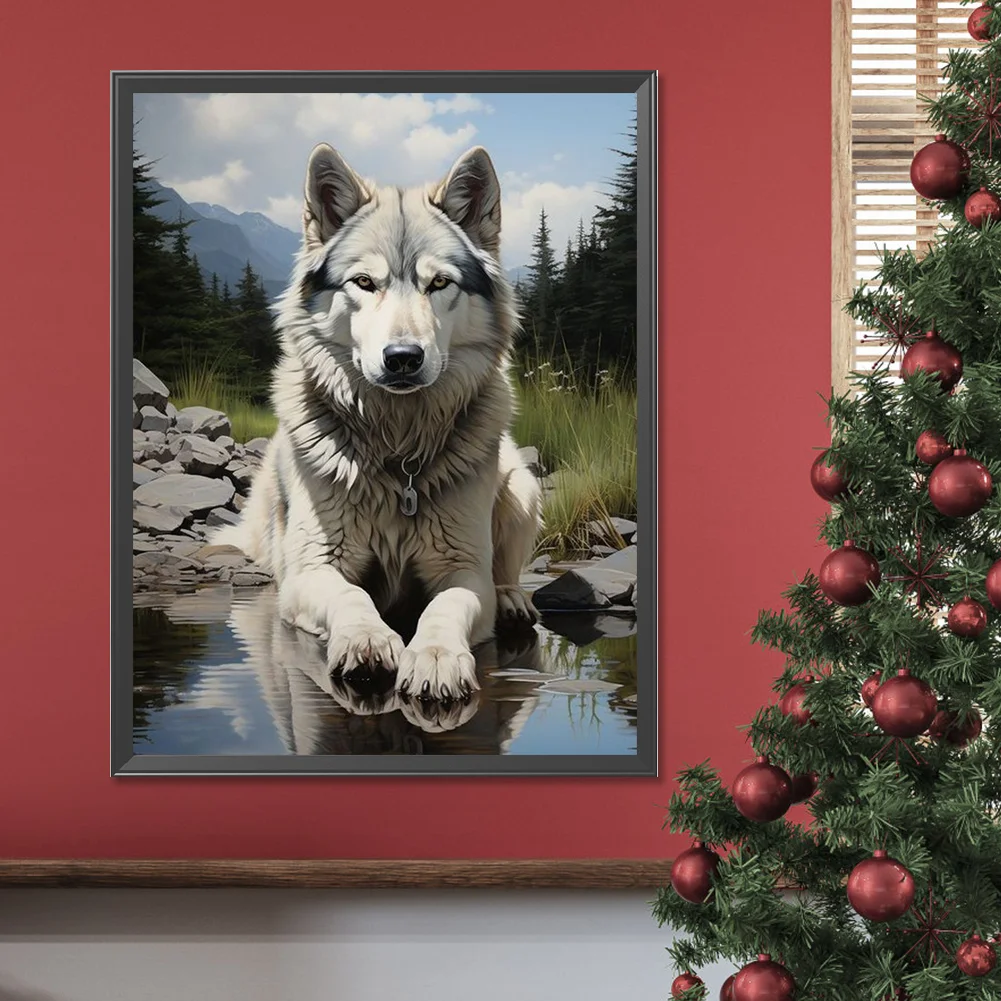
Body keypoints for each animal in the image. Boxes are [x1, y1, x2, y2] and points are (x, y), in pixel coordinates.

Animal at [214, 141, 543, 702]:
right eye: (364, 283)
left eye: (440, 283)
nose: (403, 359)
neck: (396, 451)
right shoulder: (313, 570)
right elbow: (351, 597)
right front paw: (366, 640)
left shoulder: (462, 570)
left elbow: (445, 607)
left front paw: (435, 656)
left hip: (521, 485)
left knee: (506, 568)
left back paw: (513, 600)